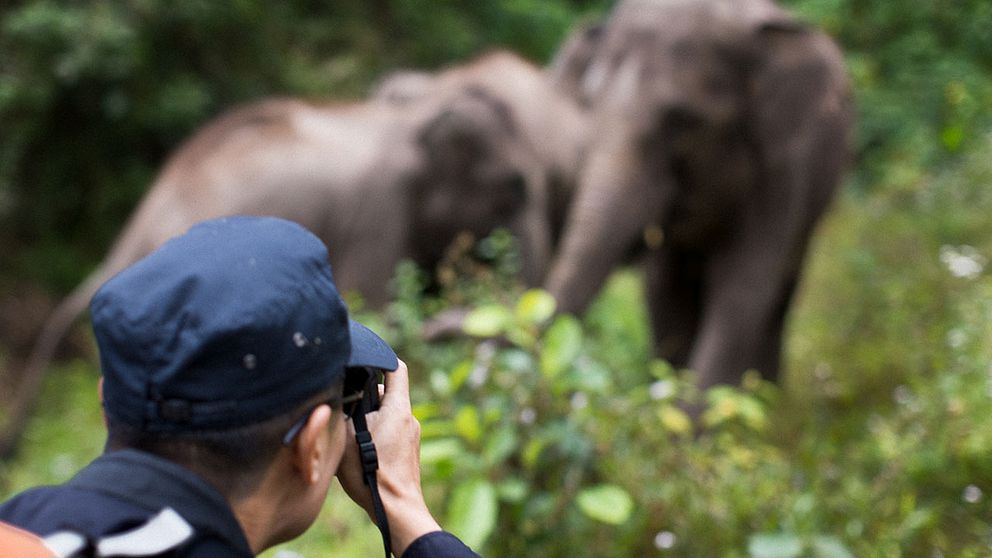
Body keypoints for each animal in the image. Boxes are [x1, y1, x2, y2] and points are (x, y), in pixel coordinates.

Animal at [544, 0, 852, 398]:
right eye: (588, 107)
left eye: (682, 121)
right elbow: (663, 289)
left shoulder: (783, 166)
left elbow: (742, 287)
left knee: (780, 291)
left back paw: (766, 397)